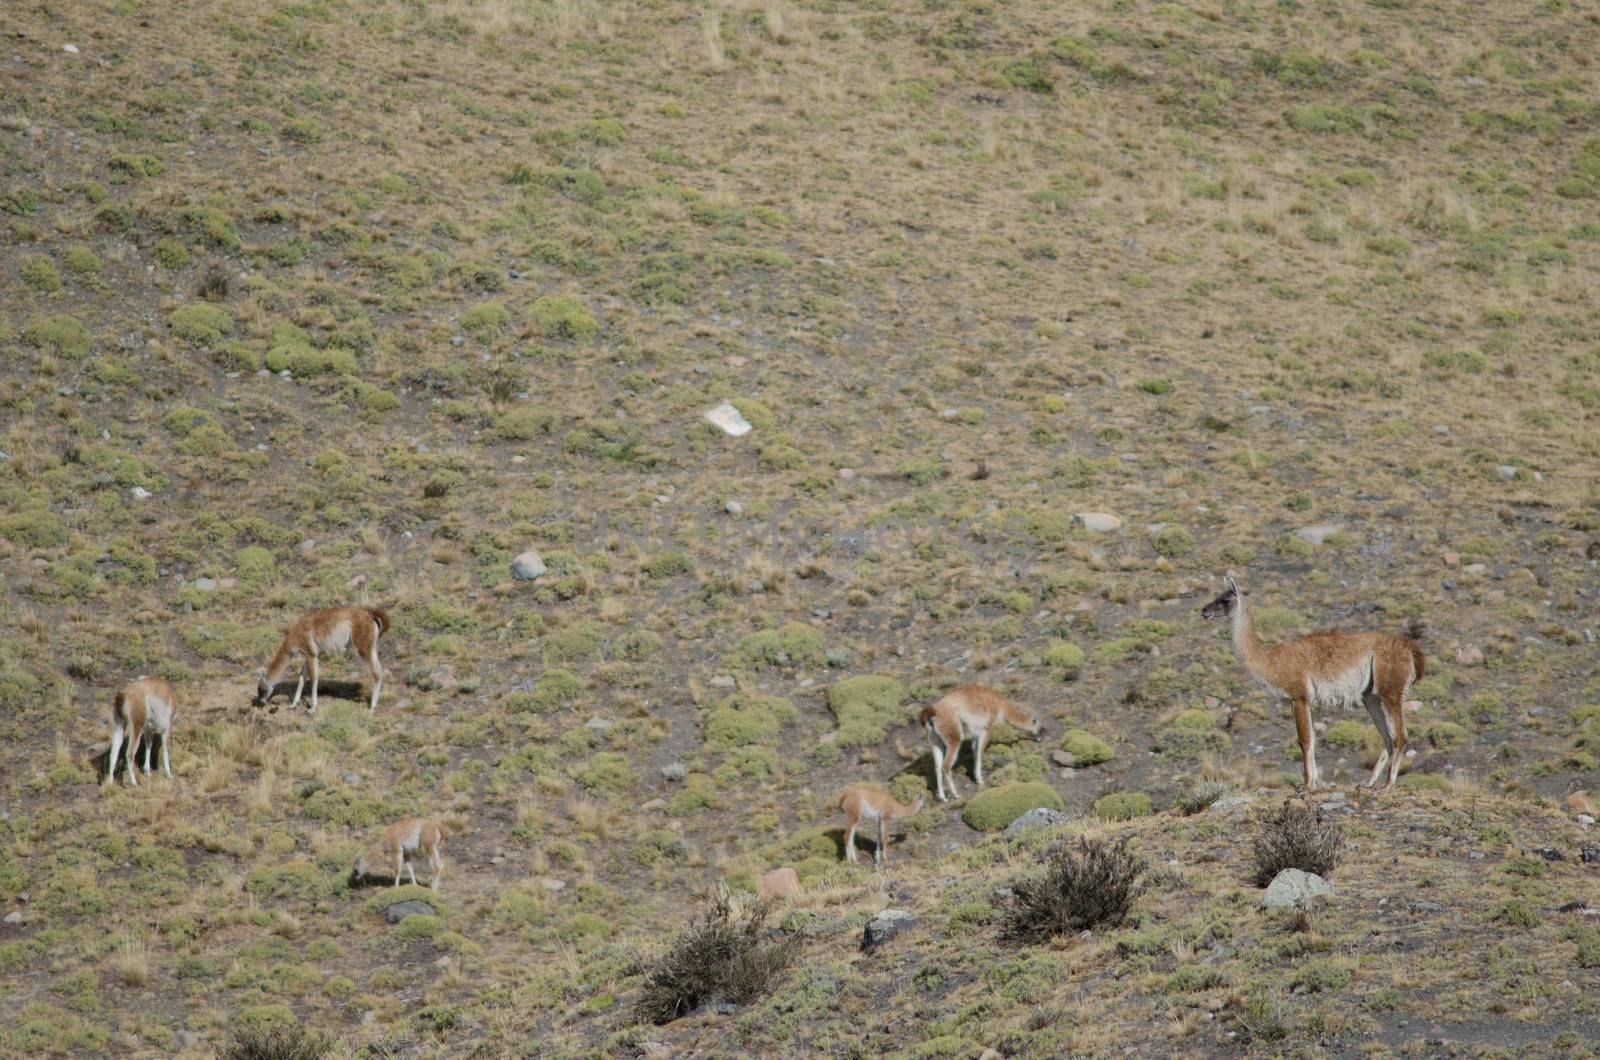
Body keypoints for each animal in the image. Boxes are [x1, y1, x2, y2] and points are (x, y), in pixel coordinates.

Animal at [259, 605, 393, 714]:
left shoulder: (311, 652)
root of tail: (371, 615)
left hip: (363, 647)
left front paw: (312, 708)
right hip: (371, 647)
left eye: (260, 689)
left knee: (376, 673)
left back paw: (372, 707)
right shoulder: (310, 654)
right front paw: (293, 705)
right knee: (379, 670)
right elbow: (302, 677)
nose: (260, 703)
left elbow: (314, 678)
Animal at [1203, 573, 1427, 787]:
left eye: (1225, 600)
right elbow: (1311, 739)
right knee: (1388, 737)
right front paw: (1315, 781)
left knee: (1400, 736)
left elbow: (1304, 740)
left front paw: (1307, 784)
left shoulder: (1299, 695)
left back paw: (1388, 784)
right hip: (1370, 696)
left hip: (1391, 688)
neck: (1272, 662)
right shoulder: (1300, 700)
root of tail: (1410, 650)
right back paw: (1369, 782)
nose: (1204, 611)